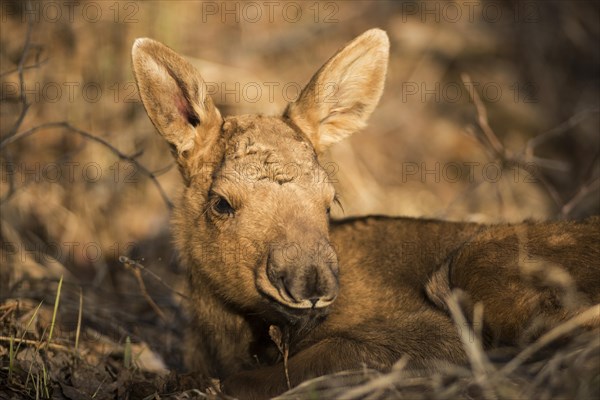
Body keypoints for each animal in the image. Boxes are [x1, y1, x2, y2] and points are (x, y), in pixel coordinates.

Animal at [132, 29, 600, 398]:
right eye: (221, 203)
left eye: (330, 200)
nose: (310, 283)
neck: (226, 337)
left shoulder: (432, 334)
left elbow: (289, 368)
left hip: (474, 262)